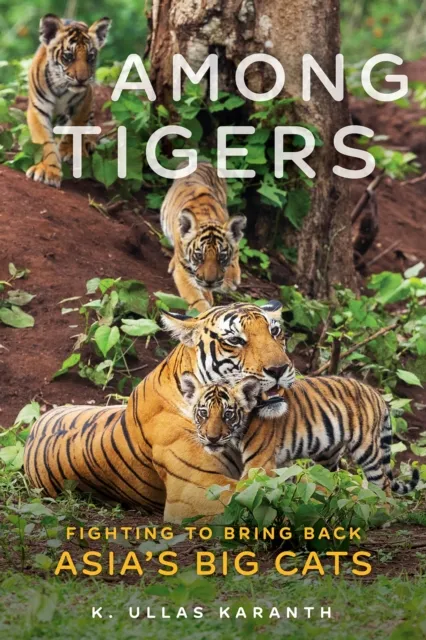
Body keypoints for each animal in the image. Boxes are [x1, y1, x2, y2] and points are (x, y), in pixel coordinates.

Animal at [26, 14, 111, 188]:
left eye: (90, 57)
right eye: (68, 57)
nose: (82, 79)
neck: (61, 86)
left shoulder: (84, 101)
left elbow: (75, 128)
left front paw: (69, 151)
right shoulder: (38, 109)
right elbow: (45, 141)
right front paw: (48, 170)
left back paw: (87, 144)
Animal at [160, 162, 247, 312]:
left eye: (223, 256)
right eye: (199, 256)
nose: (235, 284)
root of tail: (202, 161)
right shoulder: (183, 270)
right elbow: (196, 297)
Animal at [184, 375, 420, 496]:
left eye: (228, 414)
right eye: (203, 413)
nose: (212, 438)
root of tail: (375, 393)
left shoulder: (258, 464)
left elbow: (243, 490)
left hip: (367, 449)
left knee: (383, 483)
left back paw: (382, 512)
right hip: (327, 455)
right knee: (330, 480)